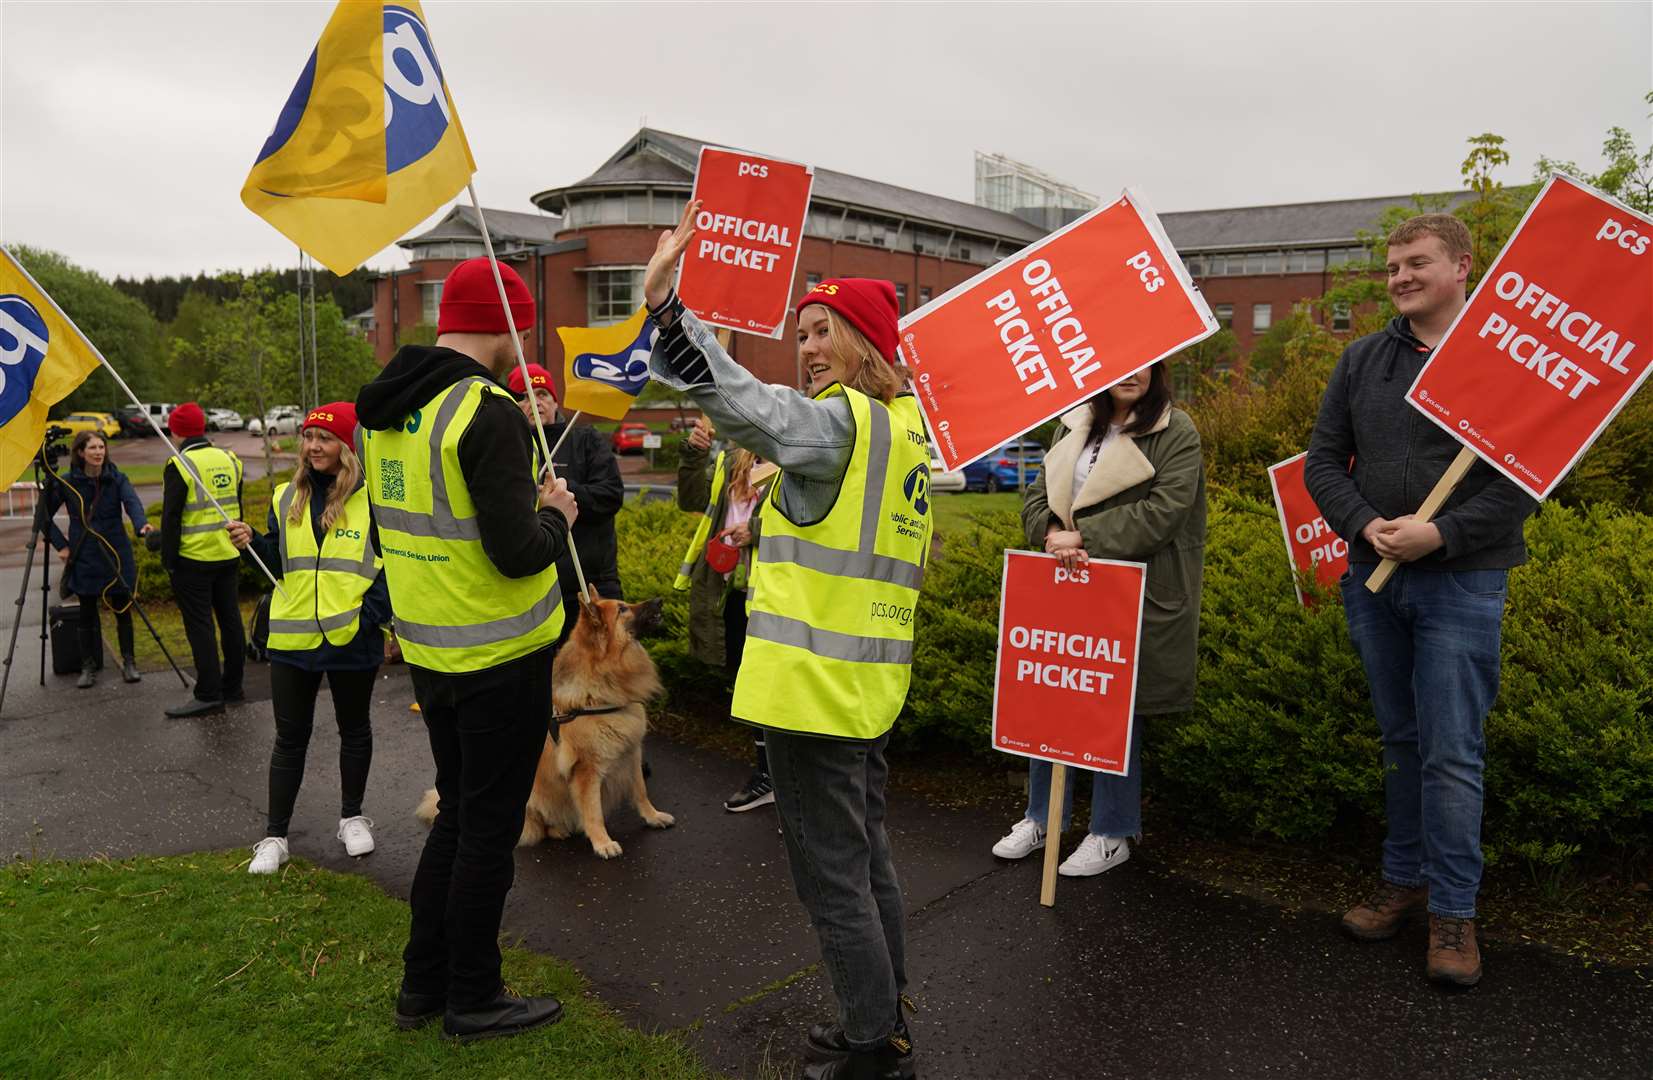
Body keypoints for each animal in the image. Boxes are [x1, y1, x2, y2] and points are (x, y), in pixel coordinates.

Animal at [419, 595, 677, 853]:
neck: (598, 692)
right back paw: (558, 830)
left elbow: (641, 792)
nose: (659, 600)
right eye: (622, 610)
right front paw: (602, 842)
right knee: (537, 827)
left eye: (624, 603)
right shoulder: (586, 770)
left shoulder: (631, 753)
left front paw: (653, 817)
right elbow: (593, 811)